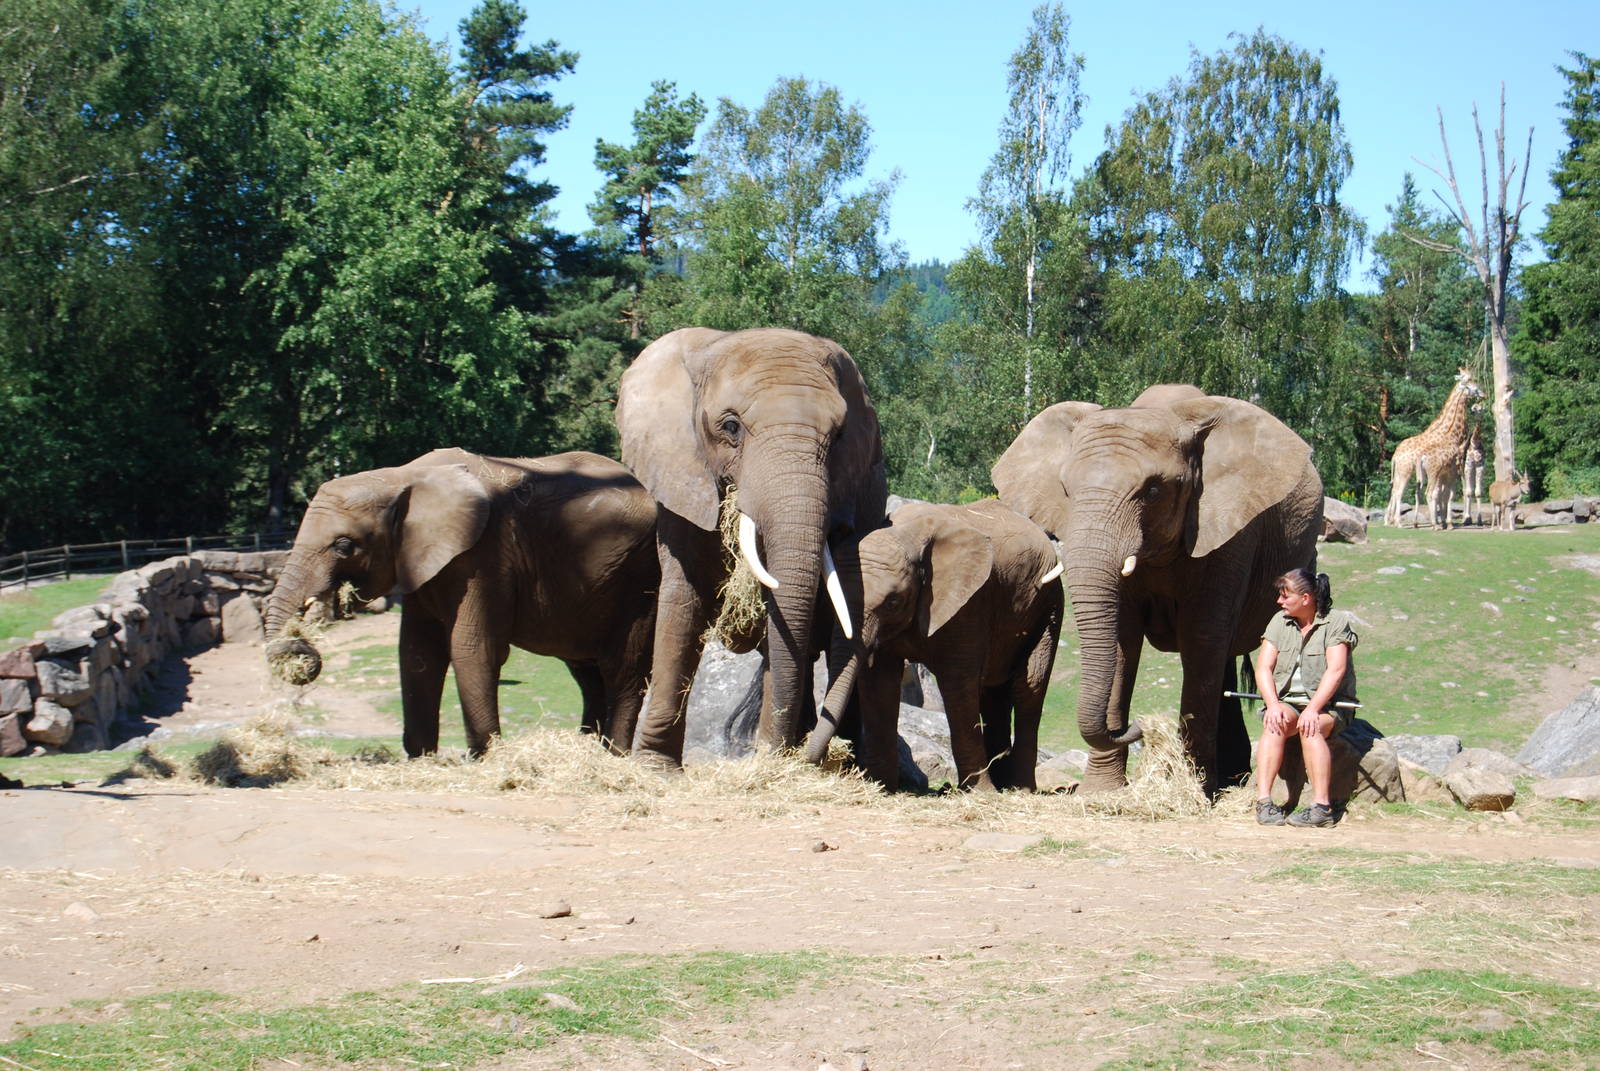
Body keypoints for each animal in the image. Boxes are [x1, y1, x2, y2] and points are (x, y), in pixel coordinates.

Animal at [263, 448, 659, 758]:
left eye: (344, 545)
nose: (304, 654)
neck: (402, 477)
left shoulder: (485, 555)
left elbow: (472, 647)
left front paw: (485, 757)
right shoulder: (421, 561)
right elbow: (417, 653)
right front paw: (422, 758)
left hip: (638, 578)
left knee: (621, 670)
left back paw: (613, 755)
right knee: (587, 674)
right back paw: (587, 748)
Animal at [615, 327, 887, 765]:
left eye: (839, 436)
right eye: (730, 427)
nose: (774, 752)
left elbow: (791, 620)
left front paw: (770, 762)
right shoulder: (681, 479)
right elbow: (683, 600)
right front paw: (656, 768)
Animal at [804, 499, 1064, 792]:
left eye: (893, 602)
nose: (823, 757)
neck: (905, 533)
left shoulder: (970, 601)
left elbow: (958, 684)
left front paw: (979, 793)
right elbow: (879, 682)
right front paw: (880, 786)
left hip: (1049, 605)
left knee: (1028, 687)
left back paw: (1019, 788)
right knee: (994, 693)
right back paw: (1004, 783)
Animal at [991, 384, 1323, 797]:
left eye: (1152, 490)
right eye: (1066, 490)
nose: (1136, 728)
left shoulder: (1232, 533)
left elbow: (1201, 637)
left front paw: (1196, 792)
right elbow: (1122, 638)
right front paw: (1102, 791)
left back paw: (1227, 781)